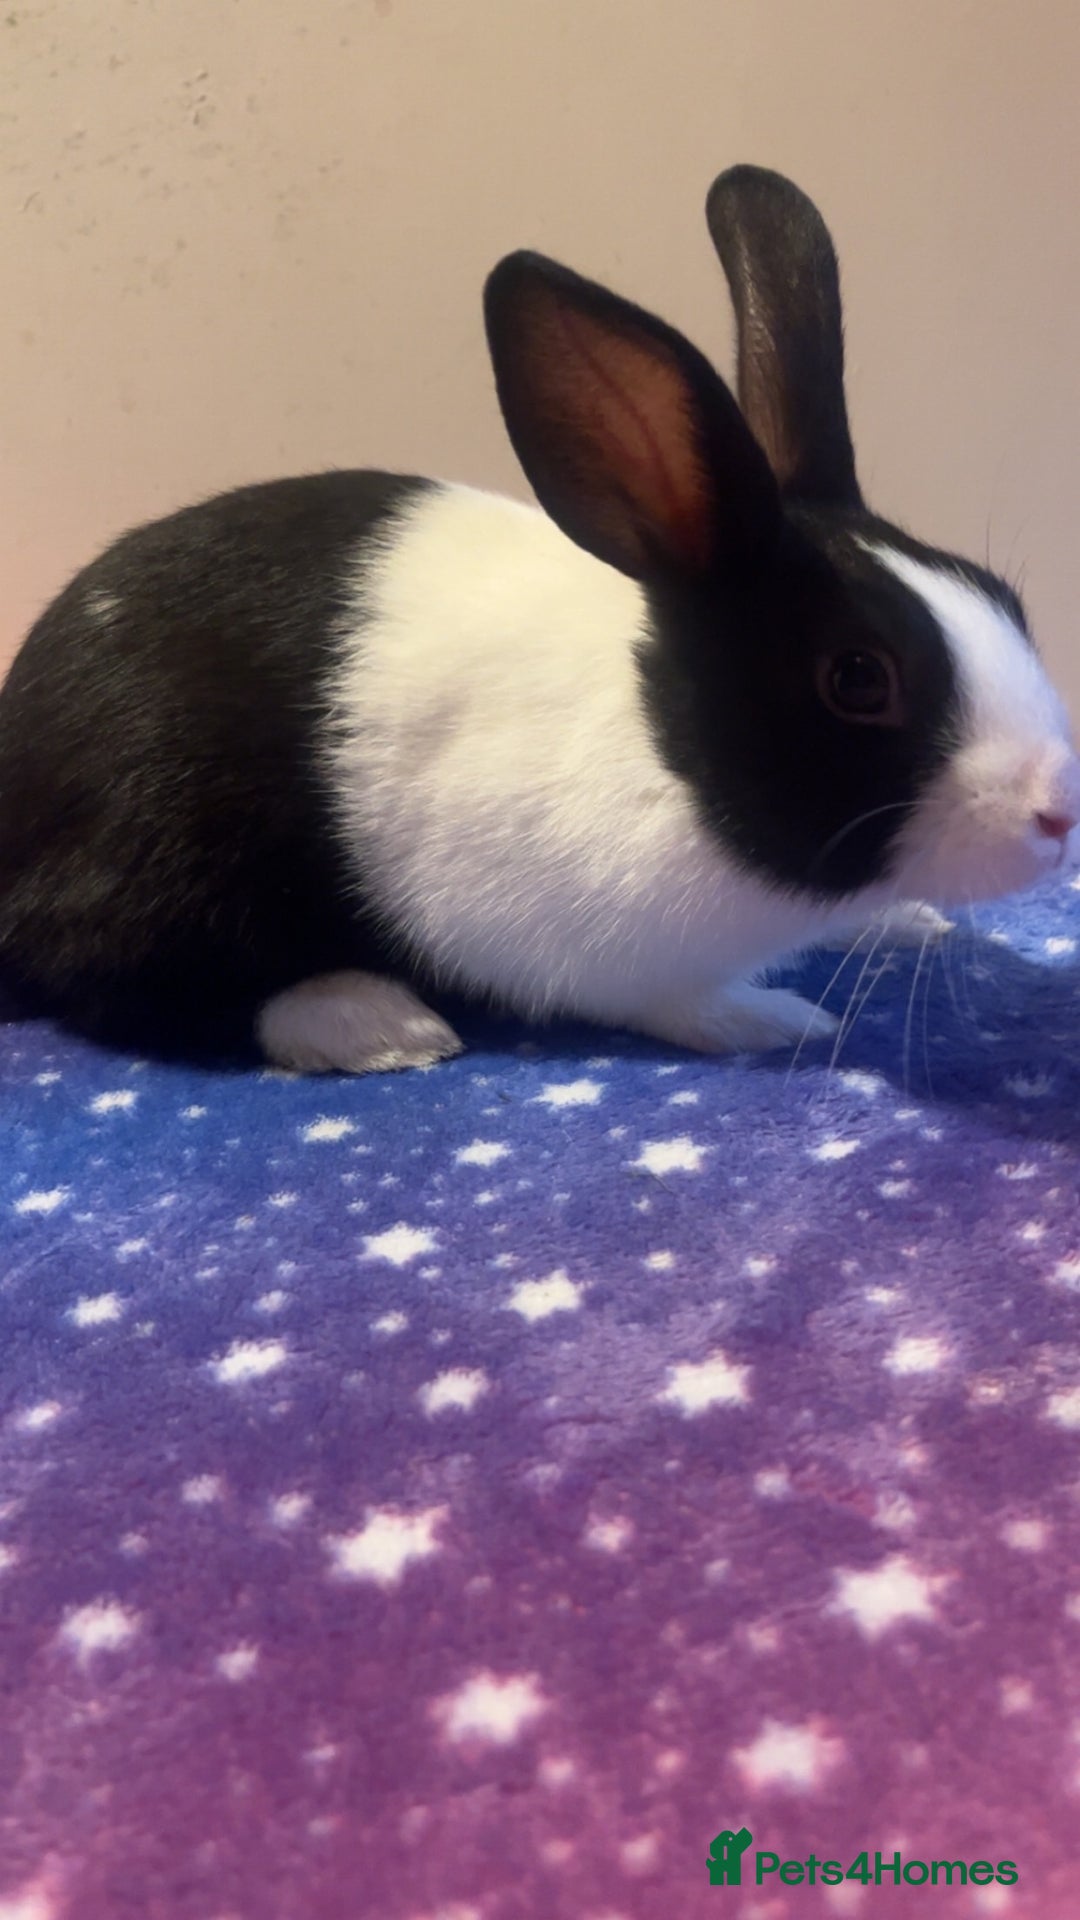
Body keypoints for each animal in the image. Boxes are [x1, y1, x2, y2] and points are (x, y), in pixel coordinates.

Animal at [0, 165, 1076, 1074]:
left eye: (1001, 595)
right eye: (858, 677)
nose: (1059, 813)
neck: (671, 760)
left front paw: (906, 922)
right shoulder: (580, 945)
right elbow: (672, 1001)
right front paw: (773, 1018)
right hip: (163, 853)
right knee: (120, 978)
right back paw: (380, 1024)